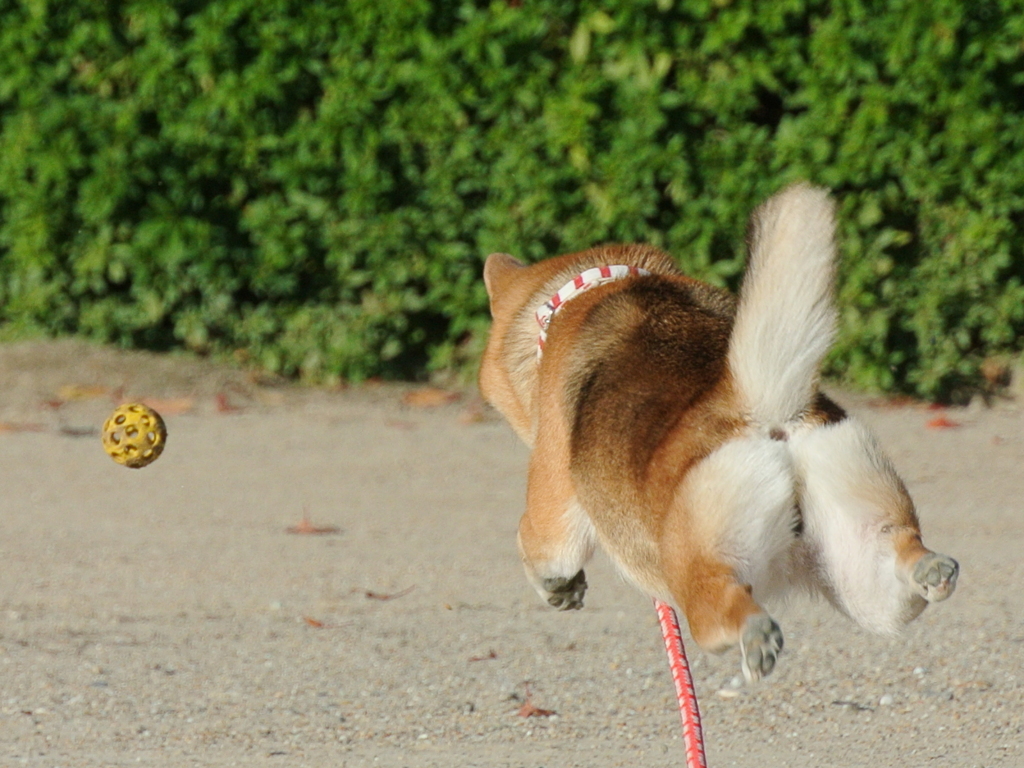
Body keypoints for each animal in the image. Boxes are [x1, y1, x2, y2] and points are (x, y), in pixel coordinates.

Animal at [479, 183, 958, 684]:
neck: (598, 285)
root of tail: (756, 404)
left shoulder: (553, 515)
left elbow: (532, 544)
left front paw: (558, 588)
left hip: (701, 565)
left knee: (723, 607)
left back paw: (756, 636)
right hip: (866, 569)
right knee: (902, 561)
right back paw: (932, 569)